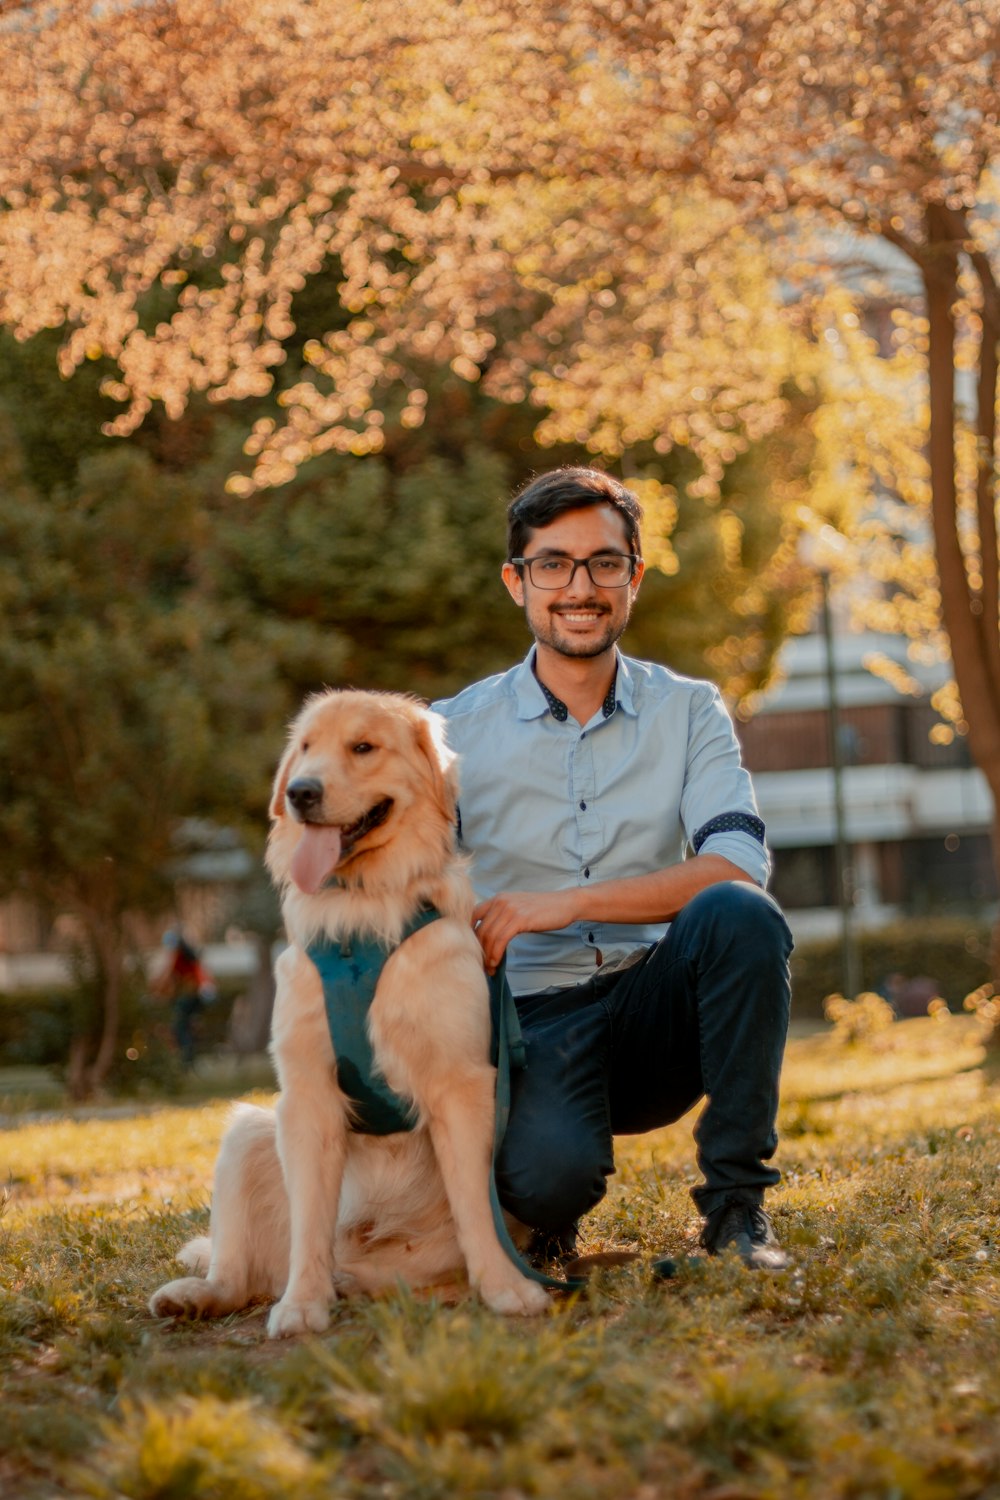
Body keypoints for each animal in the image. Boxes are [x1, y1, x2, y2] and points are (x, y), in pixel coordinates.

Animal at [150, 690, 548, 1338]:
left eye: (363, 747)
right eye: (307, 747)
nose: (300, 792)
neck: (360, 916)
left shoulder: (461, 1084)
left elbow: (474, 1207)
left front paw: (506, 1288)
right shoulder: (306, 1092)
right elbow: (310, 1221)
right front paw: (302, 1304)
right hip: (248, 1132)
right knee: (238, 1272)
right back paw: (200, 1294)